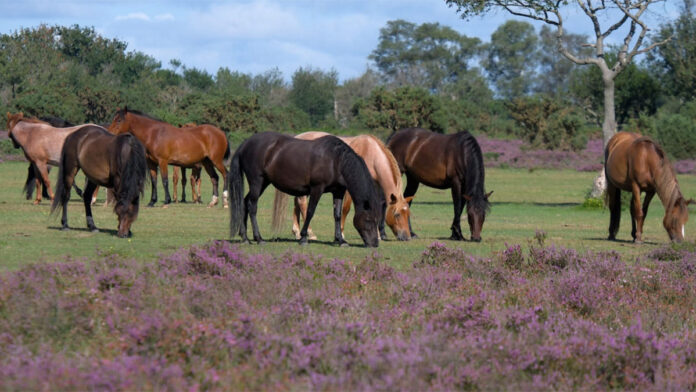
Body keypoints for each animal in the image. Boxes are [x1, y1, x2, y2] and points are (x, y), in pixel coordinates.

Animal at [228, 133, 380, 247]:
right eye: (368, 219)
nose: (374, 243)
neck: (336, 160)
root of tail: (246, 143)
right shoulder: (317, 189)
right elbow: (310, 212)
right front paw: (303, 238)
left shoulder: (338, 191)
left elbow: (337, 215)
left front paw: (341, 240)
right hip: (257, 181)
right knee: (252, 206)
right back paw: (259, 238)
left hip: (264, 183)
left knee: (244, 202)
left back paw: (245, 238)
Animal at [272, 132, 414, 242]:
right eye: (397, 214)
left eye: (408, 214)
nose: (406, 237)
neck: (370, 153)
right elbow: (345, 209)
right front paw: (341, 233)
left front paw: (378, 235)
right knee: (302, 204)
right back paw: (310, 233)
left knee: (297, 203)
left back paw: (297, 232)